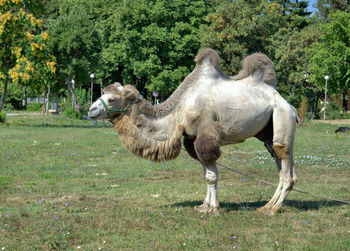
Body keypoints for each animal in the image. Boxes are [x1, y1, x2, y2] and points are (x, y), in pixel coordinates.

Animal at [89, 48, 296, 215]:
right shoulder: (192, 139)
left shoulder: (206, 136)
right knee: (284, 167)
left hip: (282, 118)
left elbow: (212, 177)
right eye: (102, 94)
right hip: (268, 133)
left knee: (285, 166)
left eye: (112, 99)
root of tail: (290, 106)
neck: (180, 110)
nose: (91, 110)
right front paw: (204, 206)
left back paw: (273, 209)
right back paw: (267, 206)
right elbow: (207, 176)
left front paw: (213, 209)